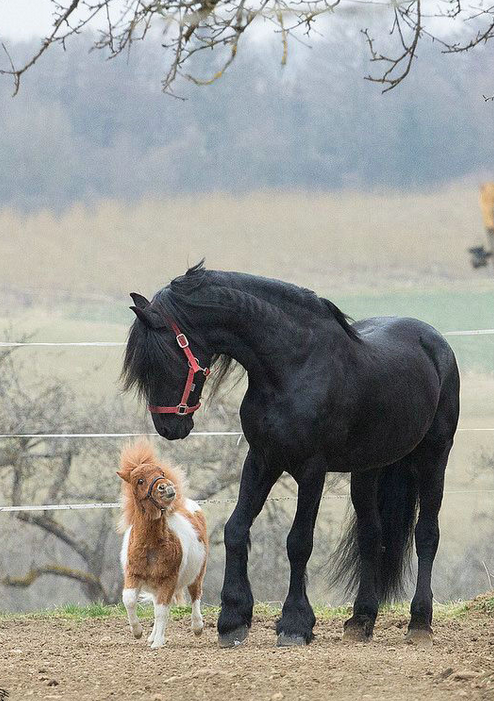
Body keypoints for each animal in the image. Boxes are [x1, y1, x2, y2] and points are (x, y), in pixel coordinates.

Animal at [117, 441, 208, 648]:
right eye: (140, 480)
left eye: (161, 472)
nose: (166, 488)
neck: (151, 546)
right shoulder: (133, 575)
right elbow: (129, 600)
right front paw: (138, 632)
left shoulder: (168, 579)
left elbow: (161, 610)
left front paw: (158, 643)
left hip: (197, 573)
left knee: (195, 595)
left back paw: (197, 627)